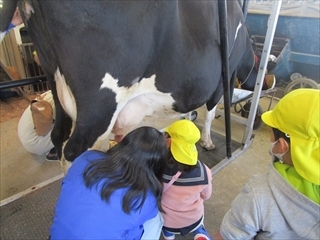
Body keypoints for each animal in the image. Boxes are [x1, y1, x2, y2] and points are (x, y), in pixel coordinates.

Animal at [0, 0, 260, 172]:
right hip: (100, 105)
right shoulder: (224, 76)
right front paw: (207, 141)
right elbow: (211, 112)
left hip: (54, 80)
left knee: (58, 136)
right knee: (75, 151)